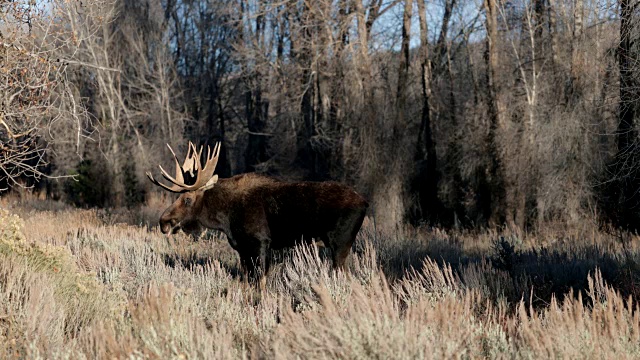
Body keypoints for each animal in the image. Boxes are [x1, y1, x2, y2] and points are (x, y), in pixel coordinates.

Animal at [147, 142, 368, 286]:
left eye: (187, 199)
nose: (164, 222)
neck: (224, 220)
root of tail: (364, 202)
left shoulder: (261, 242)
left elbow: (260, 283)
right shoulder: (242, 247)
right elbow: (246, 281)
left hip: (340, 242)